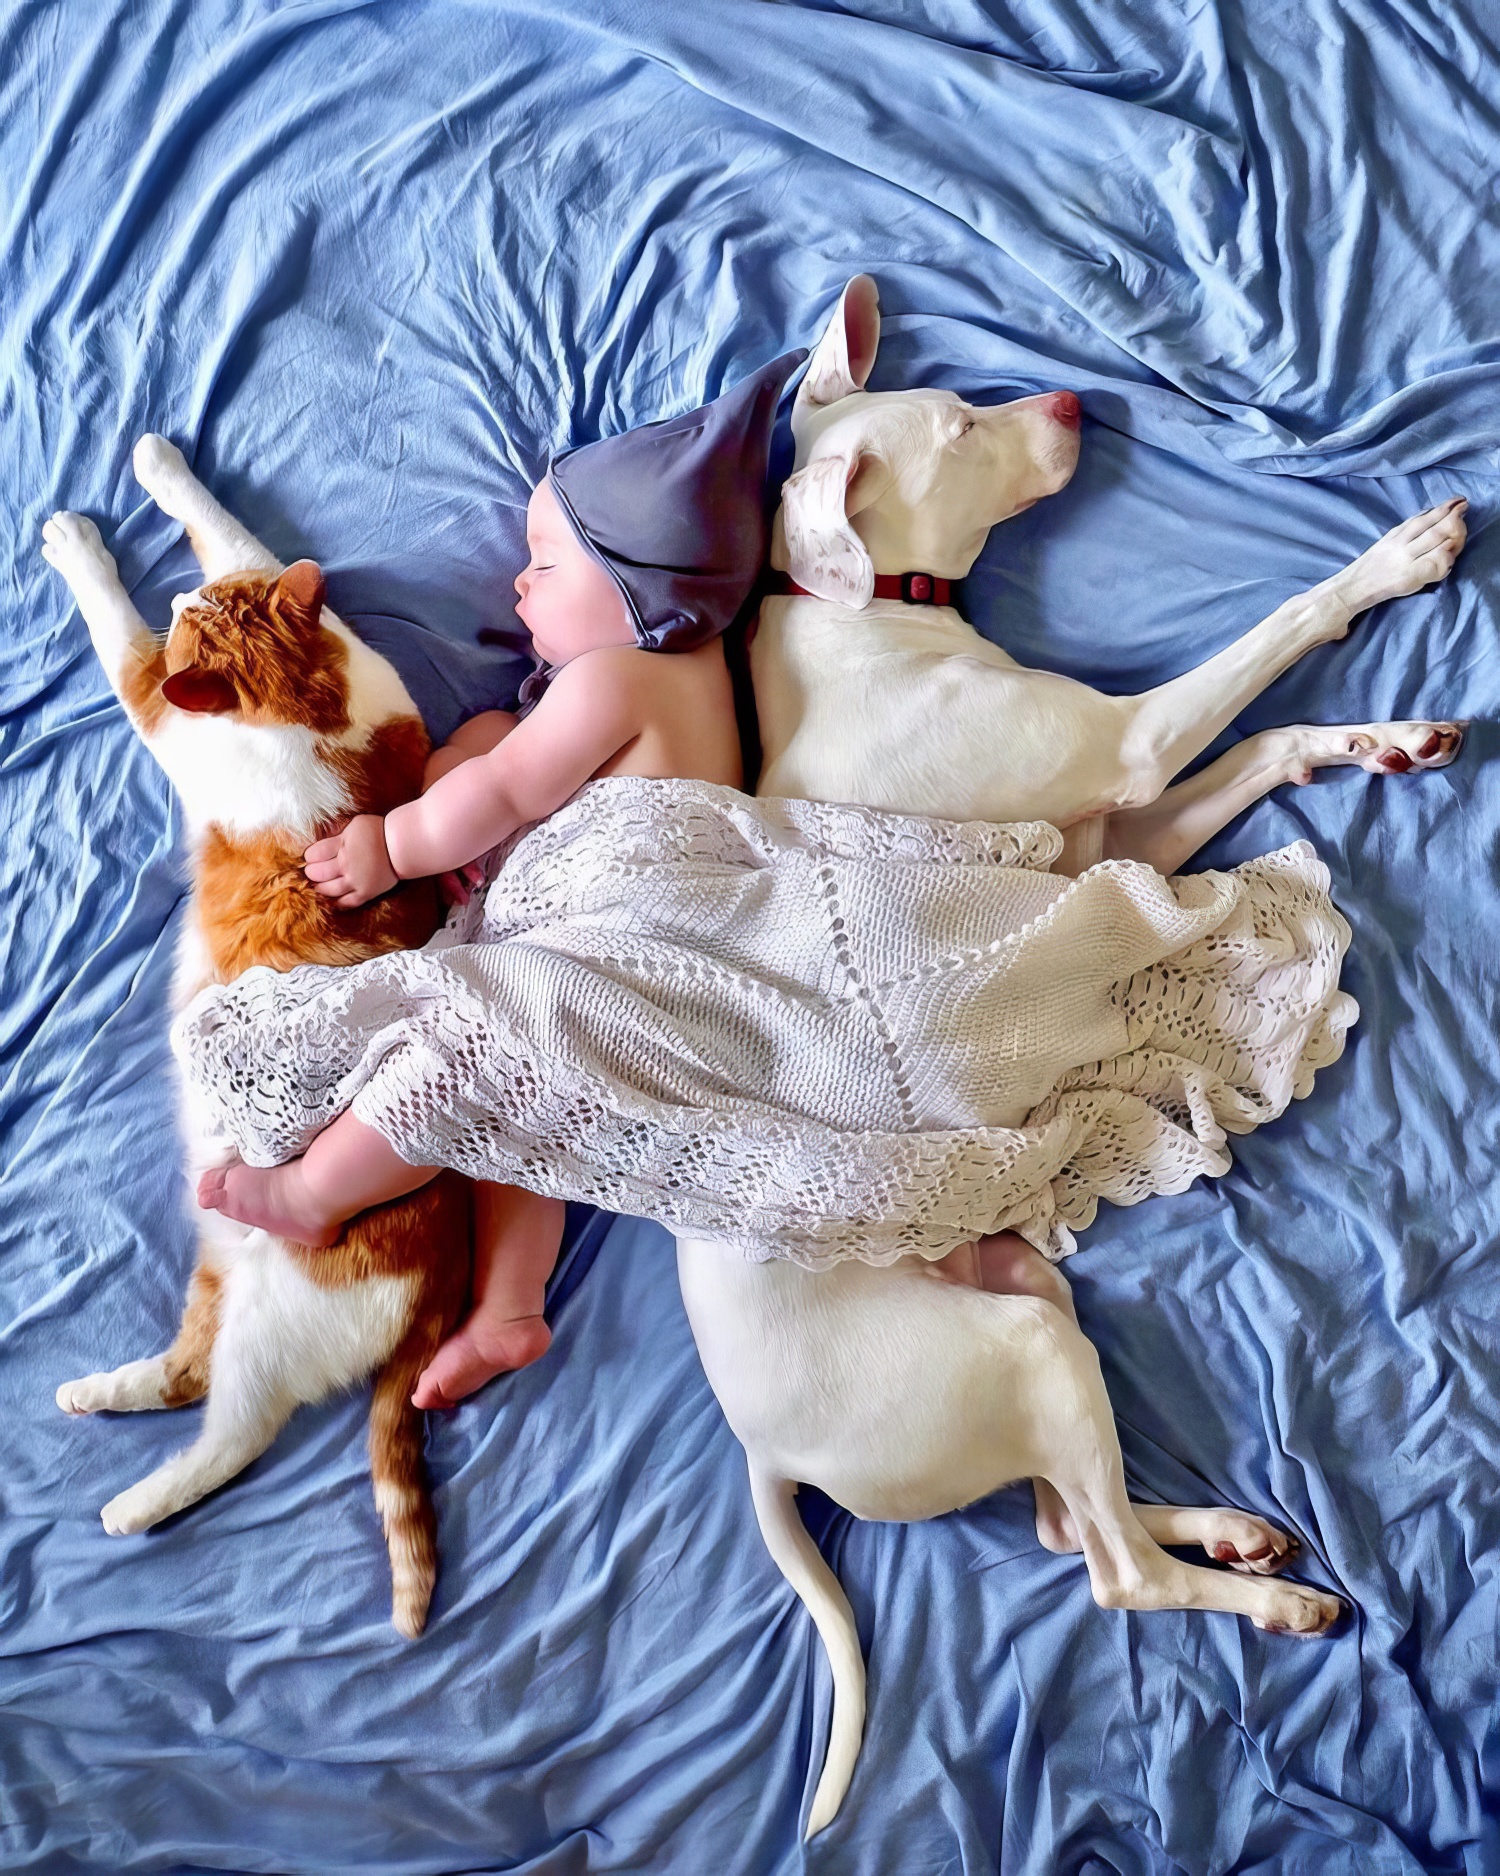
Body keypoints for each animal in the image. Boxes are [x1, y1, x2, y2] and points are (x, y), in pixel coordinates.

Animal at [43, 435, 467, 1636]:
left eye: (189, 622)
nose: (182, 598)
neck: (302, 700)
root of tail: (453, 1253)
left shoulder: (151, 693)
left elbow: (116, 625)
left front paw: (80, 544)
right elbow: (236, 532)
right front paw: (160, 466)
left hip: (276, 1321)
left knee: (234, 1430)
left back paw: (129, 1508)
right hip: (220, 1273)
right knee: (184, 1374)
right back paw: (94, 1393)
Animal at [676, 277, 1467, 1835]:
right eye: (956, 427)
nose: (1069, 400)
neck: (879, 621)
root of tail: (764, 1457)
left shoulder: (1126, 824)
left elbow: (1271, 740)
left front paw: (1384, 739)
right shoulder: (1140, 746)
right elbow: (1278, 631)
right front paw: (1395, 557)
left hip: (1030, 1295)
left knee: (1064, 1513)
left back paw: (1228, 1529)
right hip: (1023, 1347)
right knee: (1108, 1572)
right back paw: (1275, 1605)